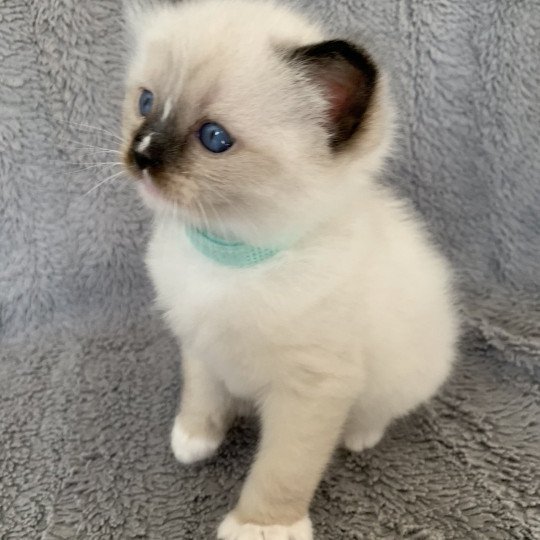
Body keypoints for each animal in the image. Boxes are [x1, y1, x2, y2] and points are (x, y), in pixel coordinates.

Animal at [120, 2, 458, 536]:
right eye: (146, 102)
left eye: (214, 138)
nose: (142, 153)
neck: (229, 254)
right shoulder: (199, 343)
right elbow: (202, 396)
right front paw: (194, 439)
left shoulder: (312, 390)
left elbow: (283, 470)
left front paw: (260, 526)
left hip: (407, 374)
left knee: (379, 411)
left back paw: (359, 435)